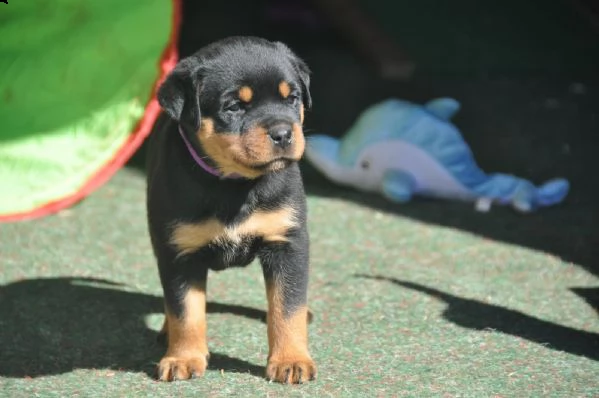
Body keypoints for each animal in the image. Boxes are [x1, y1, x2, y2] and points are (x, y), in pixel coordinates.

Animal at [146, 36, 316, 382]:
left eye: (292, 98)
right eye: (234, 106)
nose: (283, 133)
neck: (234, 185)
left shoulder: (287, 241)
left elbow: (287, 305)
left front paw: (291, 360)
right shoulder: (179, 250)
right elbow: (185, 309)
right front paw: (183, 358)